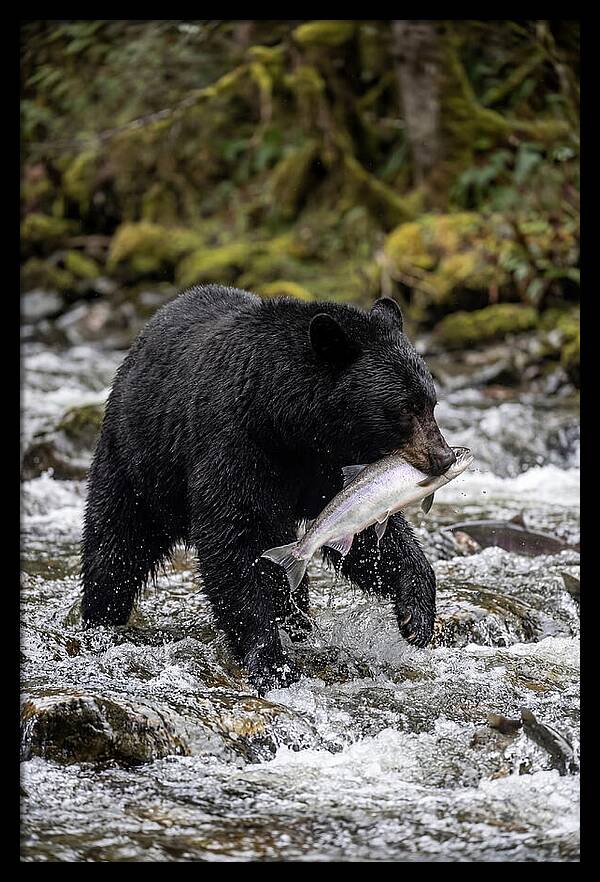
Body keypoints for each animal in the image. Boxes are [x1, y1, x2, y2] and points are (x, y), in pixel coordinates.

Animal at [81, 285, 455, 693]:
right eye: (404, 408)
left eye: (431, 403)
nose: (444, 457)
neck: (286, 422)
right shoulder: (234, 444)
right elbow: (232, 539)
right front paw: (271, 662)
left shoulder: (330, 466)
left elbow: (365, 530)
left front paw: (416, 616)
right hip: (137, 461)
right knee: (115, 543)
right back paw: (100, 619)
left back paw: (299, 624)